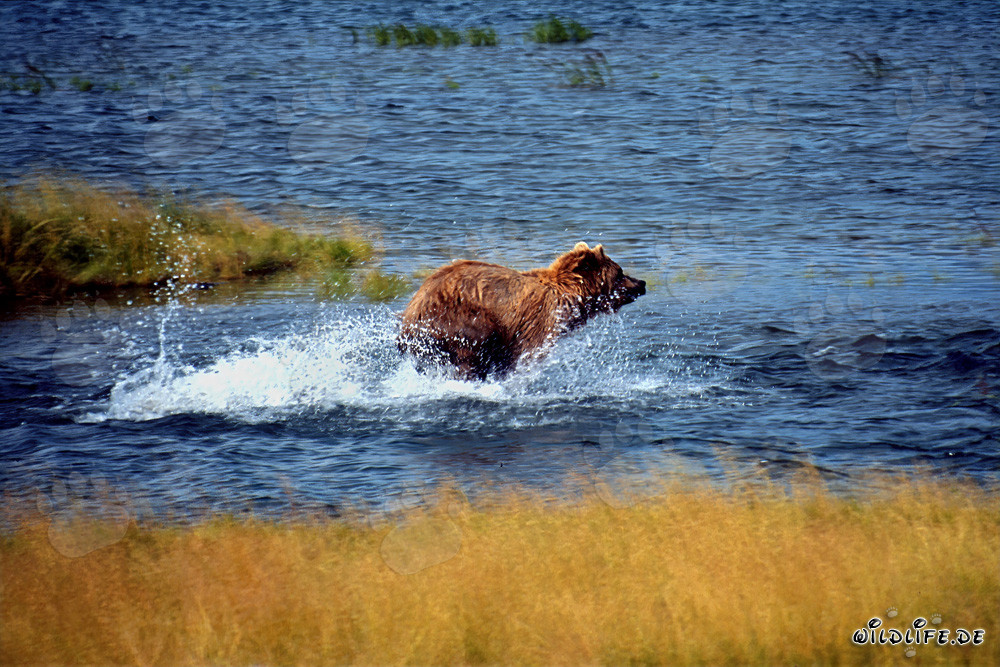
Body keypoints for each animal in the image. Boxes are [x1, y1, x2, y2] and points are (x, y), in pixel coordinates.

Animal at [397, 242, 645, 380]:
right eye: (619, 272)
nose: (642, 283)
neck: (568, 300)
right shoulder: (535, 322)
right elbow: (522, 354)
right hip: (458, 318)